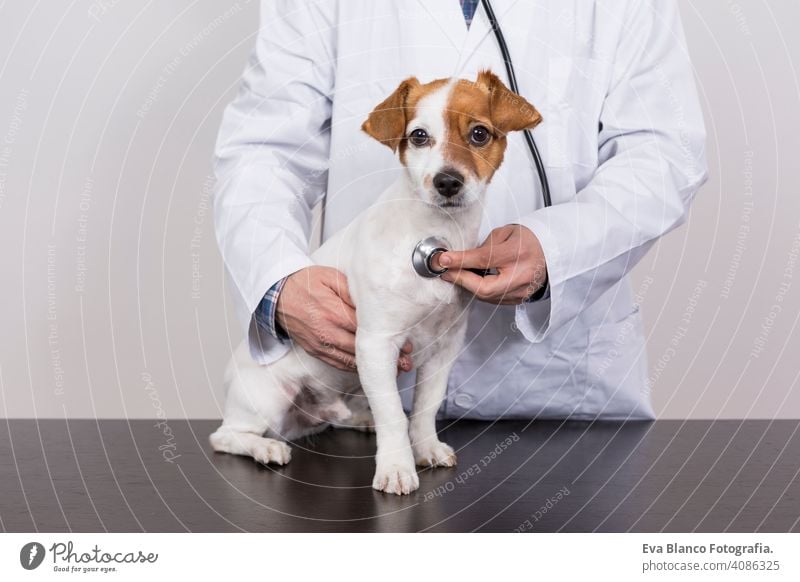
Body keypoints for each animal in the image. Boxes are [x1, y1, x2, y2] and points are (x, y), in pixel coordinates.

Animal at [209, 70, 540, 496]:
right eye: (419, 136)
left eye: (479, 133)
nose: (447, 182)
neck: (436, 233)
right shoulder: (376, 344)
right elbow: (394, 416)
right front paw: (397, 467)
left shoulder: (443, 348)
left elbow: (424, 408)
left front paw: (425, 448)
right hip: (266, 399)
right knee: (226, 436)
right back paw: (265, 448)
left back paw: (357, 418)